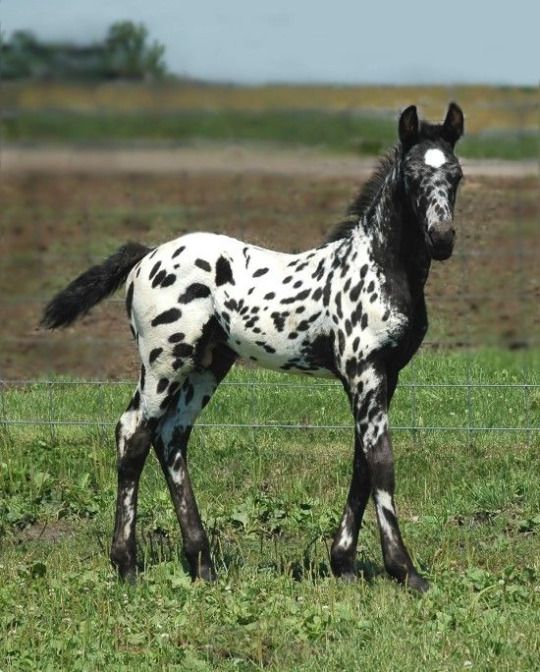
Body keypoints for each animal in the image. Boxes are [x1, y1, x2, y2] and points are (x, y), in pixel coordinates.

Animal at [42, 102, 464, 592]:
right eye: (413, 174)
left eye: (456, 174)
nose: (442, 238)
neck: (378, 267)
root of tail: (147, 255)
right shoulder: (364, 373)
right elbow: (381, 463)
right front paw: (406, 570)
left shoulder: (385, 376)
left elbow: (362, 463)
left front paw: (343, 564)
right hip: (165, 361)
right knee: (134, 433)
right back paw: (127, 564)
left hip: (206, 365)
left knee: (172, 437)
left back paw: (201, 563)